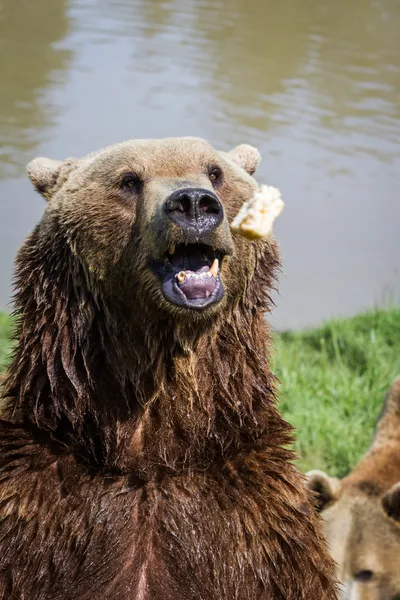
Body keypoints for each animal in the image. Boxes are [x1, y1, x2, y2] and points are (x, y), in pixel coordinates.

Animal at [0, 137, 338, 600]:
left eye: (215, 172)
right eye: (129, 180)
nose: (193, 203)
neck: (155, 456)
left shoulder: (261, 537)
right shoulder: (39, 520)